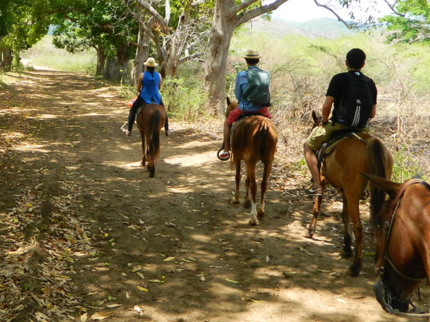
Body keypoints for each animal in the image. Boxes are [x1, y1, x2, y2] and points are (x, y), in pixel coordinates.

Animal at [225, 97, 278, 225]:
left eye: (227, 112)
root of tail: (263, 126)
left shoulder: (239, 158)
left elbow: (238, 177)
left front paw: (237, 199)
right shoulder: (248, 160)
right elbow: (247, 180)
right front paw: (246, 200)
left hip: (252, 161)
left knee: (254, 185)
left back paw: (253, 217)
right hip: (268, 161)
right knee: (263, 184)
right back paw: (260, 210)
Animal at [306, 111, 394, 276]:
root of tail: (371, 143)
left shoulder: (323, 179)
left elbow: (317, 207)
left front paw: (311, 230)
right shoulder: (345, 190)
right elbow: (344, 215)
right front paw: (347, 246)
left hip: (353, 193)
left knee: (359, 227)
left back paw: (356, 266)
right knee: (380, 223)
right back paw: (378, 263)